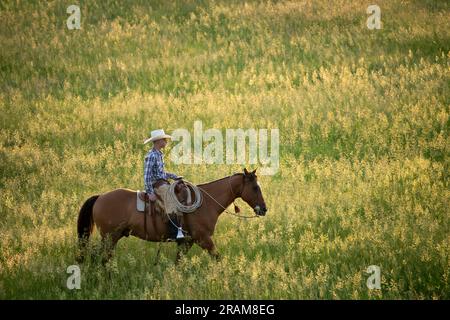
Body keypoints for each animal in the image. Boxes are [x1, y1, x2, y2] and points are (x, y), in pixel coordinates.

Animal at [76, 168, 268, 262]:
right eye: (255, 187)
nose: (264, 209)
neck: (206, 203)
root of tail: (100, 197)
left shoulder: (187, 242)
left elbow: (178, 263)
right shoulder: (203, 239)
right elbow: (217, 257)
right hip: (110, 237)